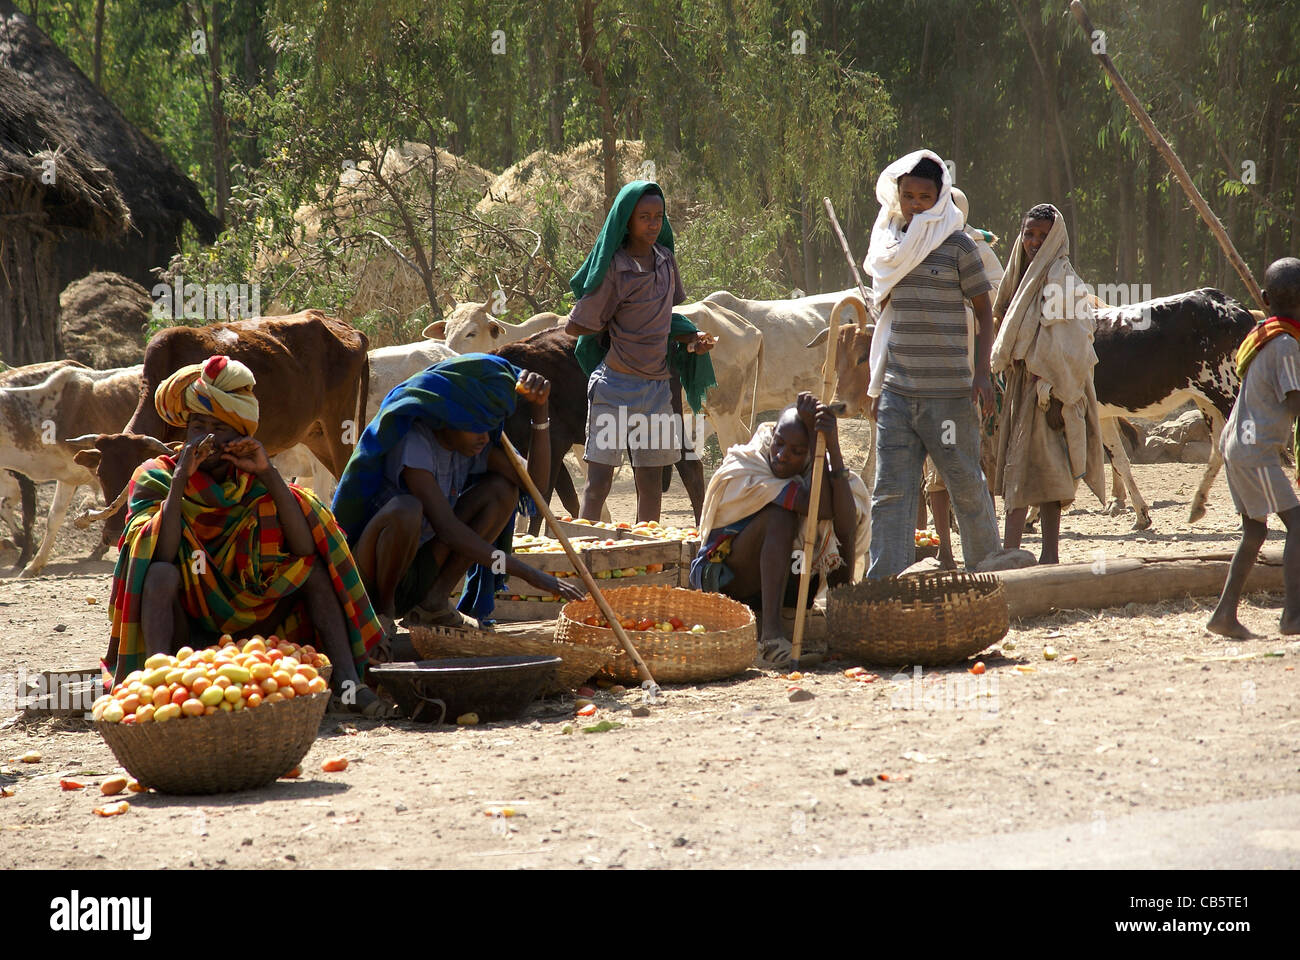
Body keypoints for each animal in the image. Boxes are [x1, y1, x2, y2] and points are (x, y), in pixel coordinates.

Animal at [75, 310, 369, 541]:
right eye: (101, 474)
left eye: (132, 472)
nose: (112, 535)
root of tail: (349, 330)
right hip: (316, 435)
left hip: (338, 428)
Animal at [1092, 287, 1263, 528]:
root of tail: (1232, 306)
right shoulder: (1102, 414)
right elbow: (1120, 460)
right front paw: (1141, 515)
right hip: (1207, 400)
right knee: (1220, 448)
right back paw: (1197, 506)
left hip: (1230, 392)